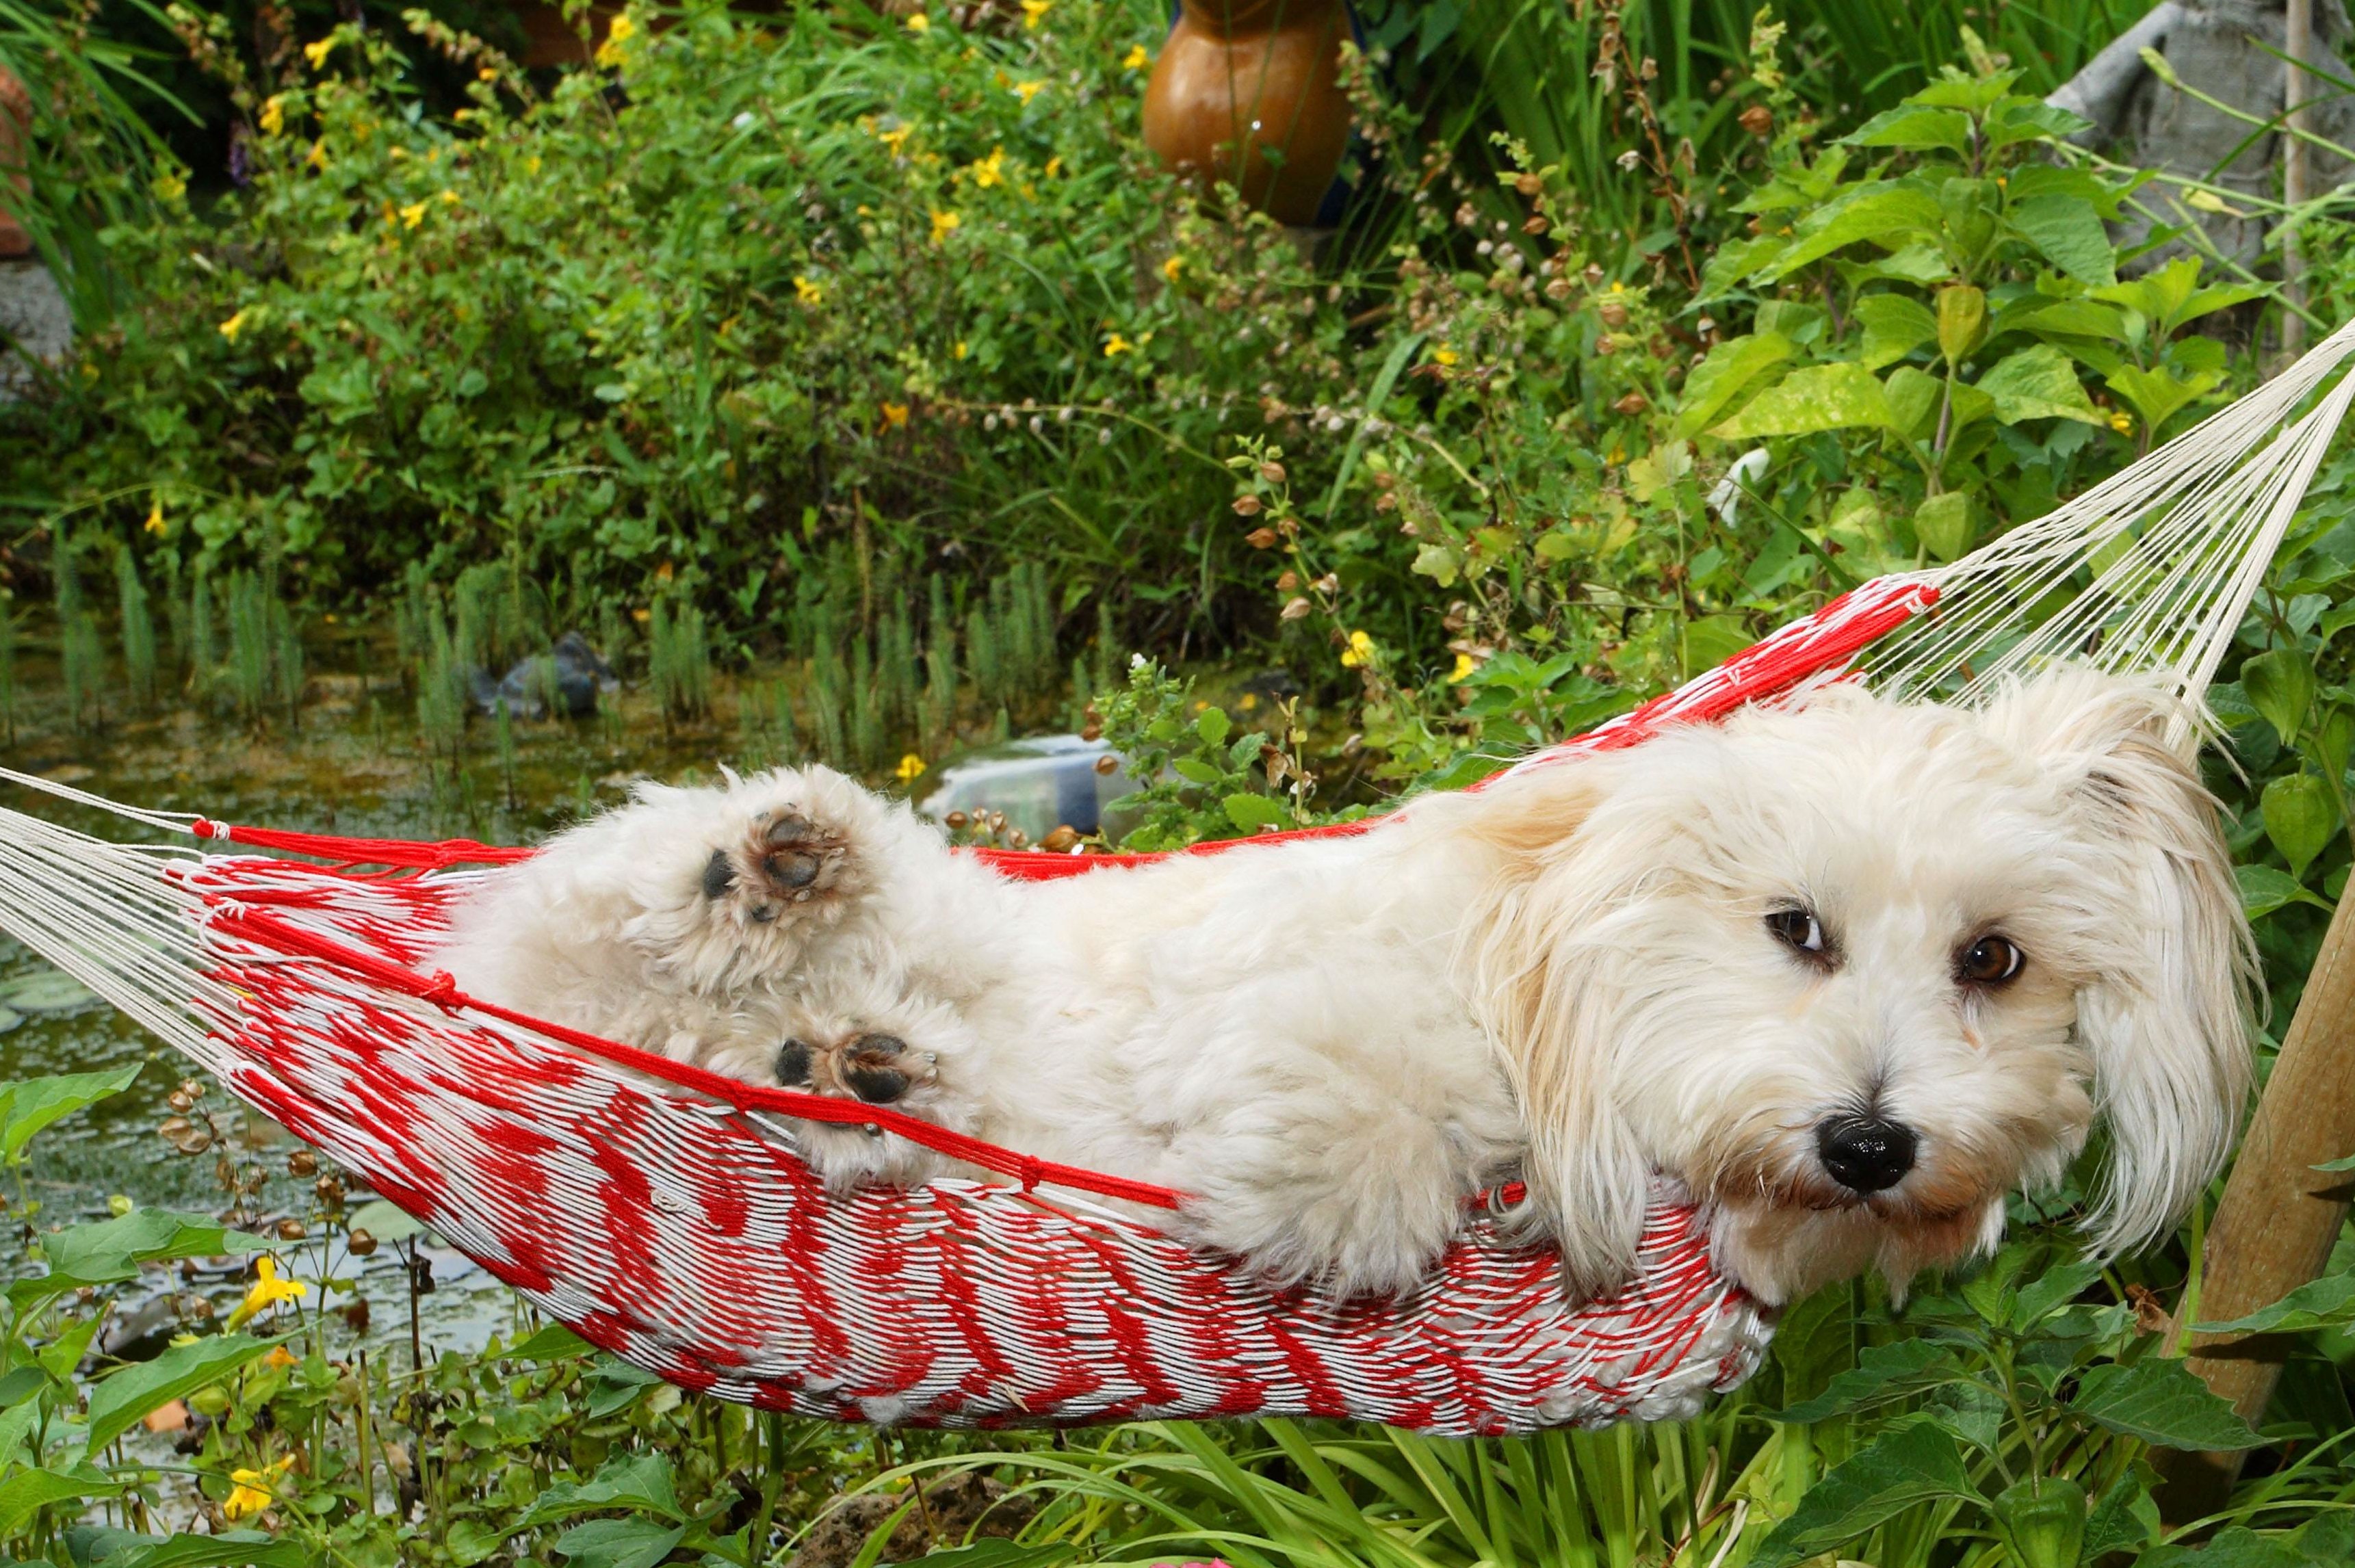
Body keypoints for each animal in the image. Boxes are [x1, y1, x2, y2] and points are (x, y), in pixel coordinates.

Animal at [433, 664, 2251, 1299]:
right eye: (1792, 928)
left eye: (1990, 961)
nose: (1870, 1146)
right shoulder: (1321, 981)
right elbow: (1349, 1086)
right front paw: (1344, 1199)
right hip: (728, 913)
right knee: (620, 894)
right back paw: (763, 871)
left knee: (847, 1059)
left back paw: (852, 1065)